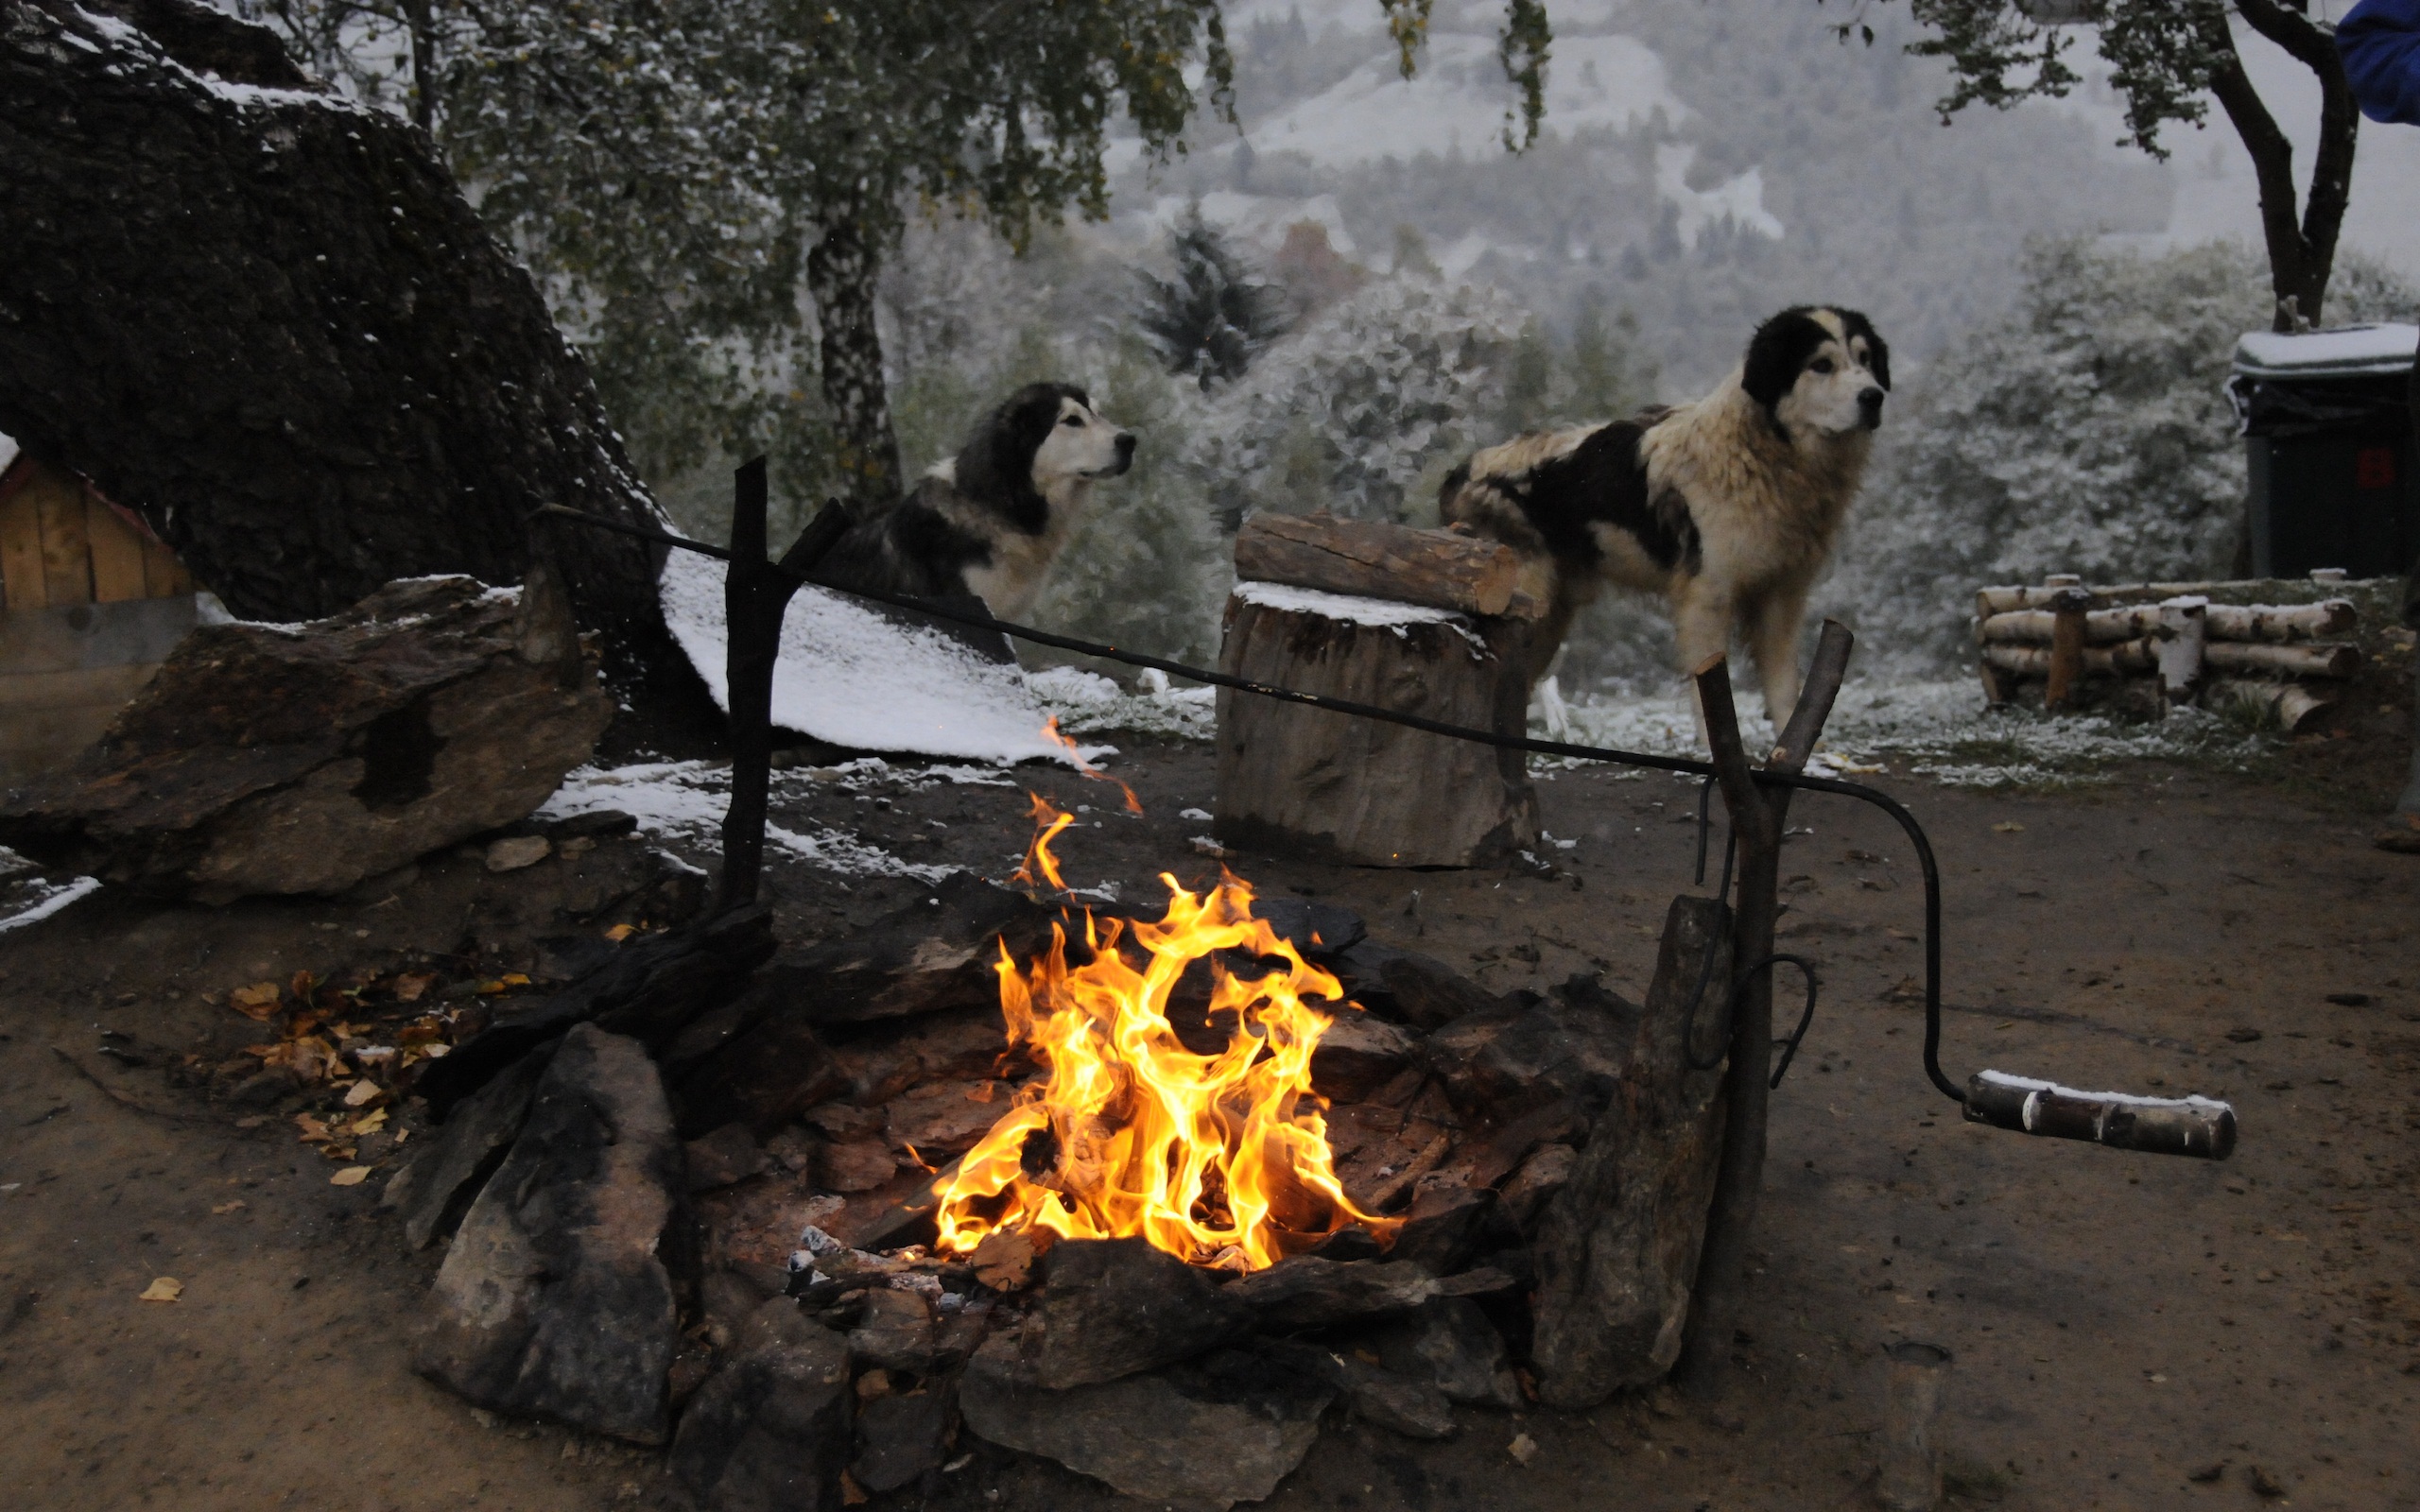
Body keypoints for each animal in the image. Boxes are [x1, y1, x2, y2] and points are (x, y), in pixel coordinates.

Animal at [1432, 304, 1887, 720]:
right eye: (1821, 365)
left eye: (1865, 360)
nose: (1874, 397)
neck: (1760, 451)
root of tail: (1463, 469)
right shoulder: (1707, 598)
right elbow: (1711, 706)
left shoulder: (1780, 600)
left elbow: (1785, 700)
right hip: (1525, 598)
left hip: (1549, 617)